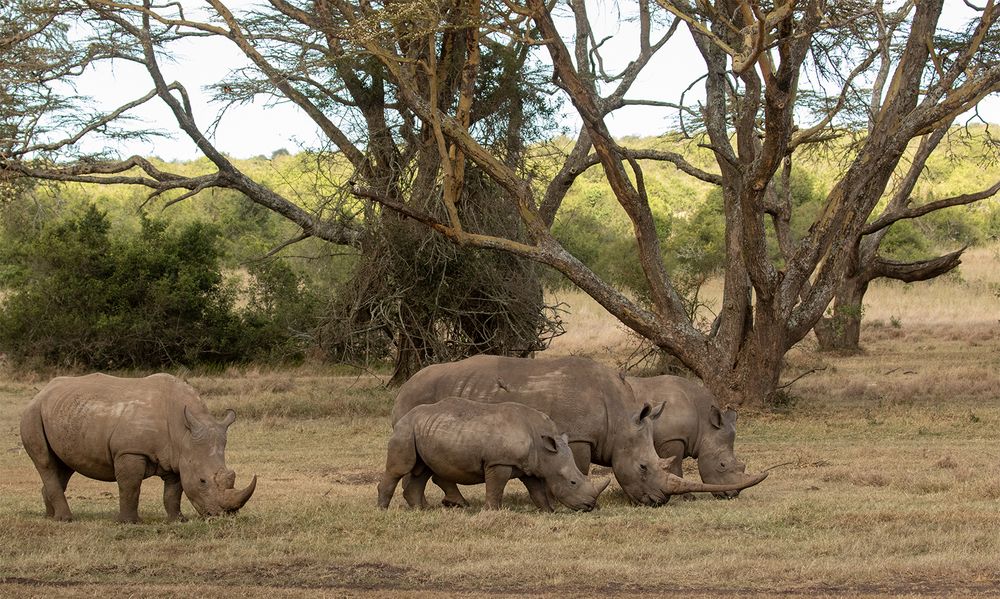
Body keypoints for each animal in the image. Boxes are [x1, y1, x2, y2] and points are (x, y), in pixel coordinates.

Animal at [20, 372, 258, 524]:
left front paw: (178, 520)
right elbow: (130, 487)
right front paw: (129, 523)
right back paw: (66, 519)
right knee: (45, 462)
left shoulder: (178, 458)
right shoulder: (130, 451)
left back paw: (51, 517)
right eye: (202, 481)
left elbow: (173, 492)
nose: (223, 516)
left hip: (64, 413)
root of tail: (42, 392)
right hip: (32, 413)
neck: (183, 433)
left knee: (63, 466)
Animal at [376, 398, 604, 510]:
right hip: (406, 430)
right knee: (401, 469)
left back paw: (421, 510)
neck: (544, 448)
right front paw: (493, 511)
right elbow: (495, 489)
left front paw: (548, 511)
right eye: (573, 482)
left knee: (421, 470)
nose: (590, 506)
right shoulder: (498, 462)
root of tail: (403, 416)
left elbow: (537, 491)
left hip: (424, 431)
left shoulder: (531, 466)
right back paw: (382, 509)